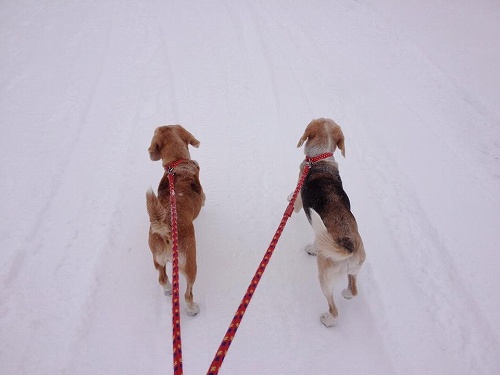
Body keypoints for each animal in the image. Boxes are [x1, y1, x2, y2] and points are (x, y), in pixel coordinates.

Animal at [146, 125, 205, 316]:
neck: (177, 163)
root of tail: (165, 230)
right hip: (190, 264)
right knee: (187, 294)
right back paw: (193, 309)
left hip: (157, 259)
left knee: (162, 279)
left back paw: (168, 290)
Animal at [292, 117, 366, 326]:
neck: (320, 159)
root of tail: (349, 247)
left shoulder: (299, 198)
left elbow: (293, 201)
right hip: (355, 269)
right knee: (353, 289)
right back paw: (347, 292)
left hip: (325, 278)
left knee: (334, 309)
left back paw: (328, 319)